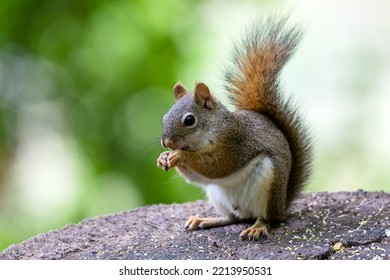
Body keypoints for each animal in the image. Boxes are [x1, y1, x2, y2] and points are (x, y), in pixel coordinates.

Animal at [157, 15, 312, 241]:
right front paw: (163, 158)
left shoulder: (235, 142)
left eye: (189, 120)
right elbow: (197, 176)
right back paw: (205, 220)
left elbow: (218, 166)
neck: (212, 129)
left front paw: (179, 156)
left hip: (268, 184)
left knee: (266, 218)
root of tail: (282, 205)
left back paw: (257, 227)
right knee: (231, 218)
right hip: (217, 194)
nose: (166, 143)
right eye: (165, 117)